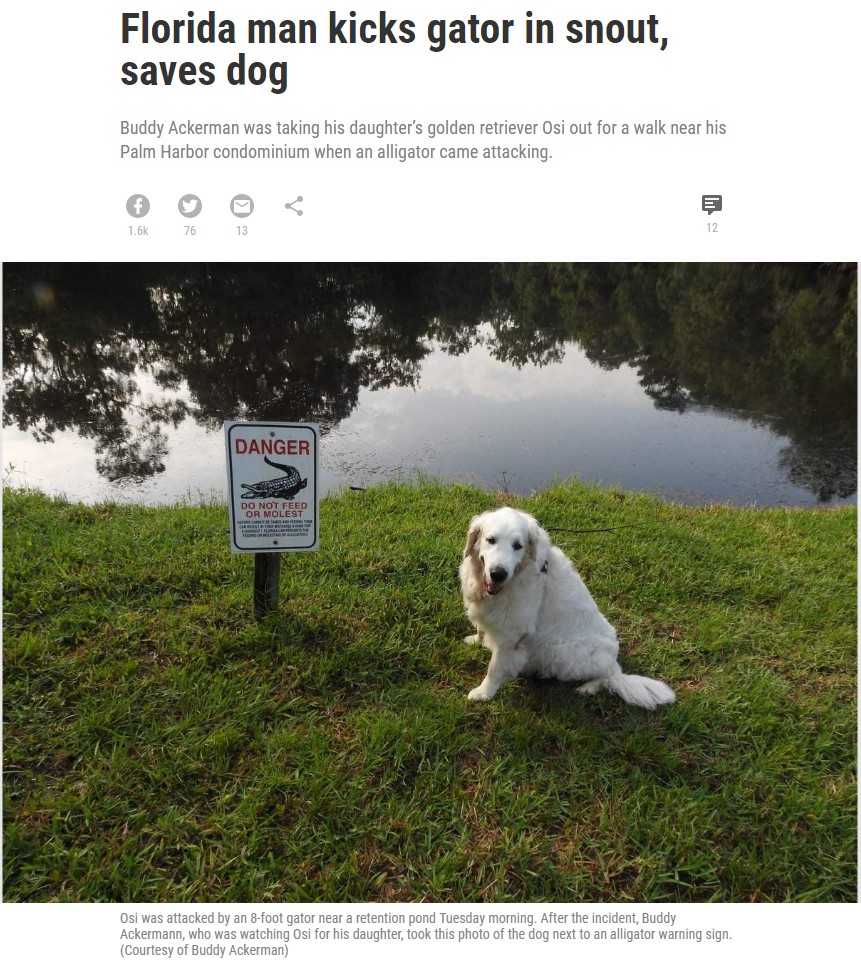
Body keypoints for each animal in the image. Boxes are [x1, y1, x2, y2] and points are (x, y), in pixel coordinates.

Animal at [460, 510, 676, 708]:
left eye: (517, 546)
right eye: (491, 540)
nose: (498, 574)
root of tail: (615, 662)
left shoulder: (512, 637)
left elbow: (494, 669)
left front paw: (483, 693)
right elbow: (481, 630)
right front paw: (476, 640)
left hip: (565, 653)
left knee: (607, 676)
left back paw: (588, 687)